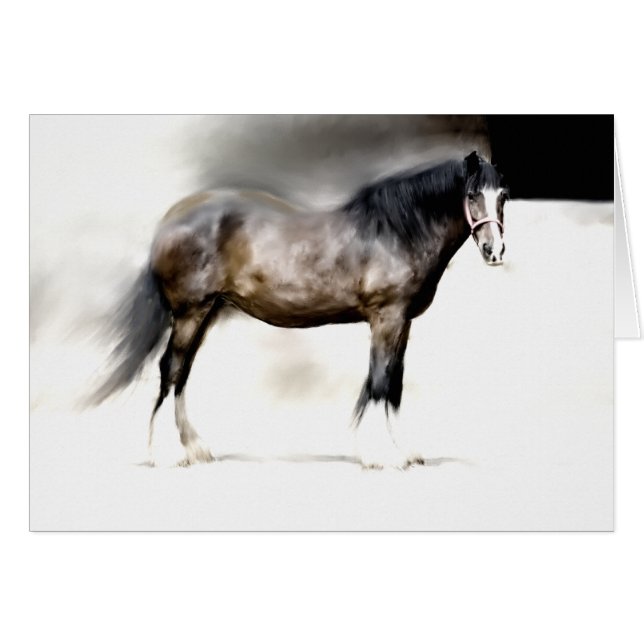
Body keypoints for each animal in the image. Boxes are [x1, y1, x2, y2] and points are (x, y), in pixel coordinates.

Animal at [91, 151, 509, 469]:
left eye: (503, 195)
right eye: (473, 195)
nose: (495, 251)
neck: (394, 232)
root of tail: (172, 218)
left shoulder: (402, 322)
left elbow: (394, 384)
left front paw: (403, 451)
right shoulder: (386, 317)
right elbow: (380, 380)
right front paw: (379, 456)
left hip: (206, 313)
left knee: (182, 373)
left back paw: (196, 449)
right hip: (190, 312)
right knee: (171, 369)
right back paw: (166, 454)